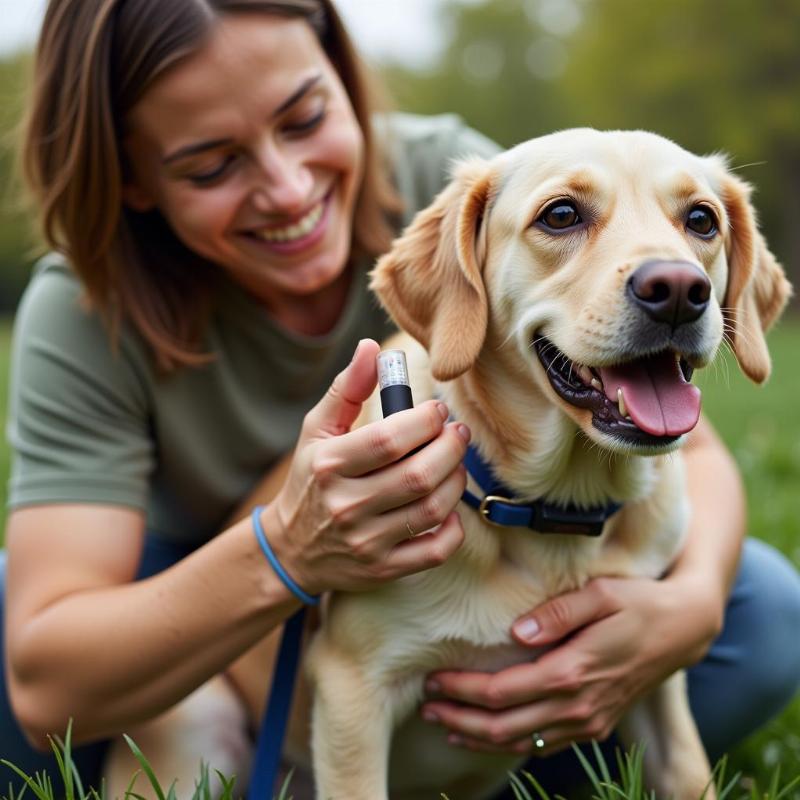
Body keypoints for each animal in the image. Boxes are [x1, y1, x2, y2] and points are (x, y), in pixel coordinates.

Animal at [104, 128, 788, 796]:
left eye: (701, 220)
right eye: (561, 214)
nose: (678, 291)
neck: (554, 511)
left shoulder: (655, 676)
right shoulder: (353, 691)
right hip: (196, 721)